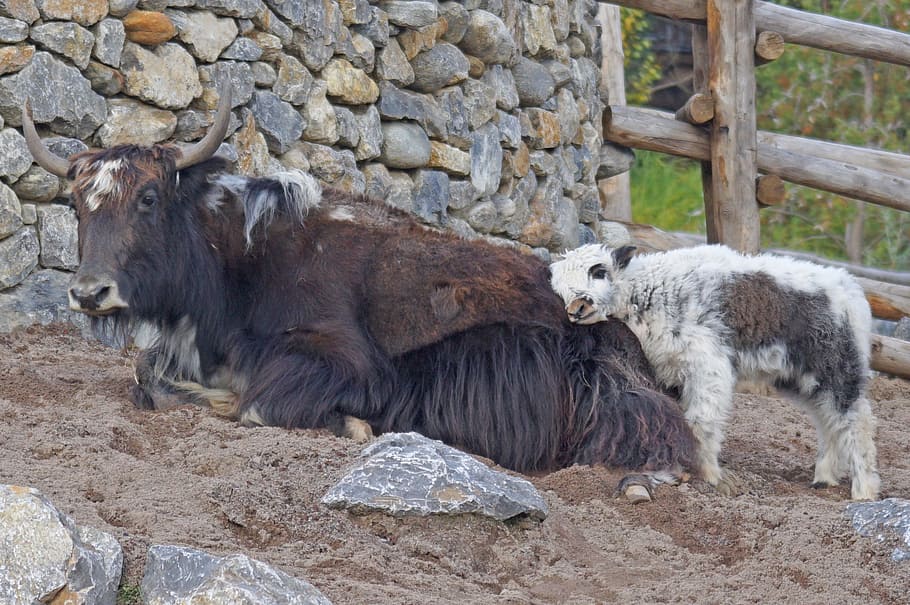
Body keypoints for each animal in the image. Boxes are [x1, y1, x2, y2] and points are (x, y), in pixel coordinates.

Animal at [549, 243, 880, 500]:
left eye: (599, 271)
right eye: (558, 288)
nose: (578, 307)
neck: (647, 292)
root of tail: (852, 290)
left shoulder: (708, 365)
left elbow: (700, 422)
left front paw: (708, 476)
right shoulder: (670, 371)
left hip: (838, 364)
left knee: (856, 419)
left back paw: (864, 490)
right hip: (801, 376)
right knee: (827, 419)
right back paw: (824, 478)